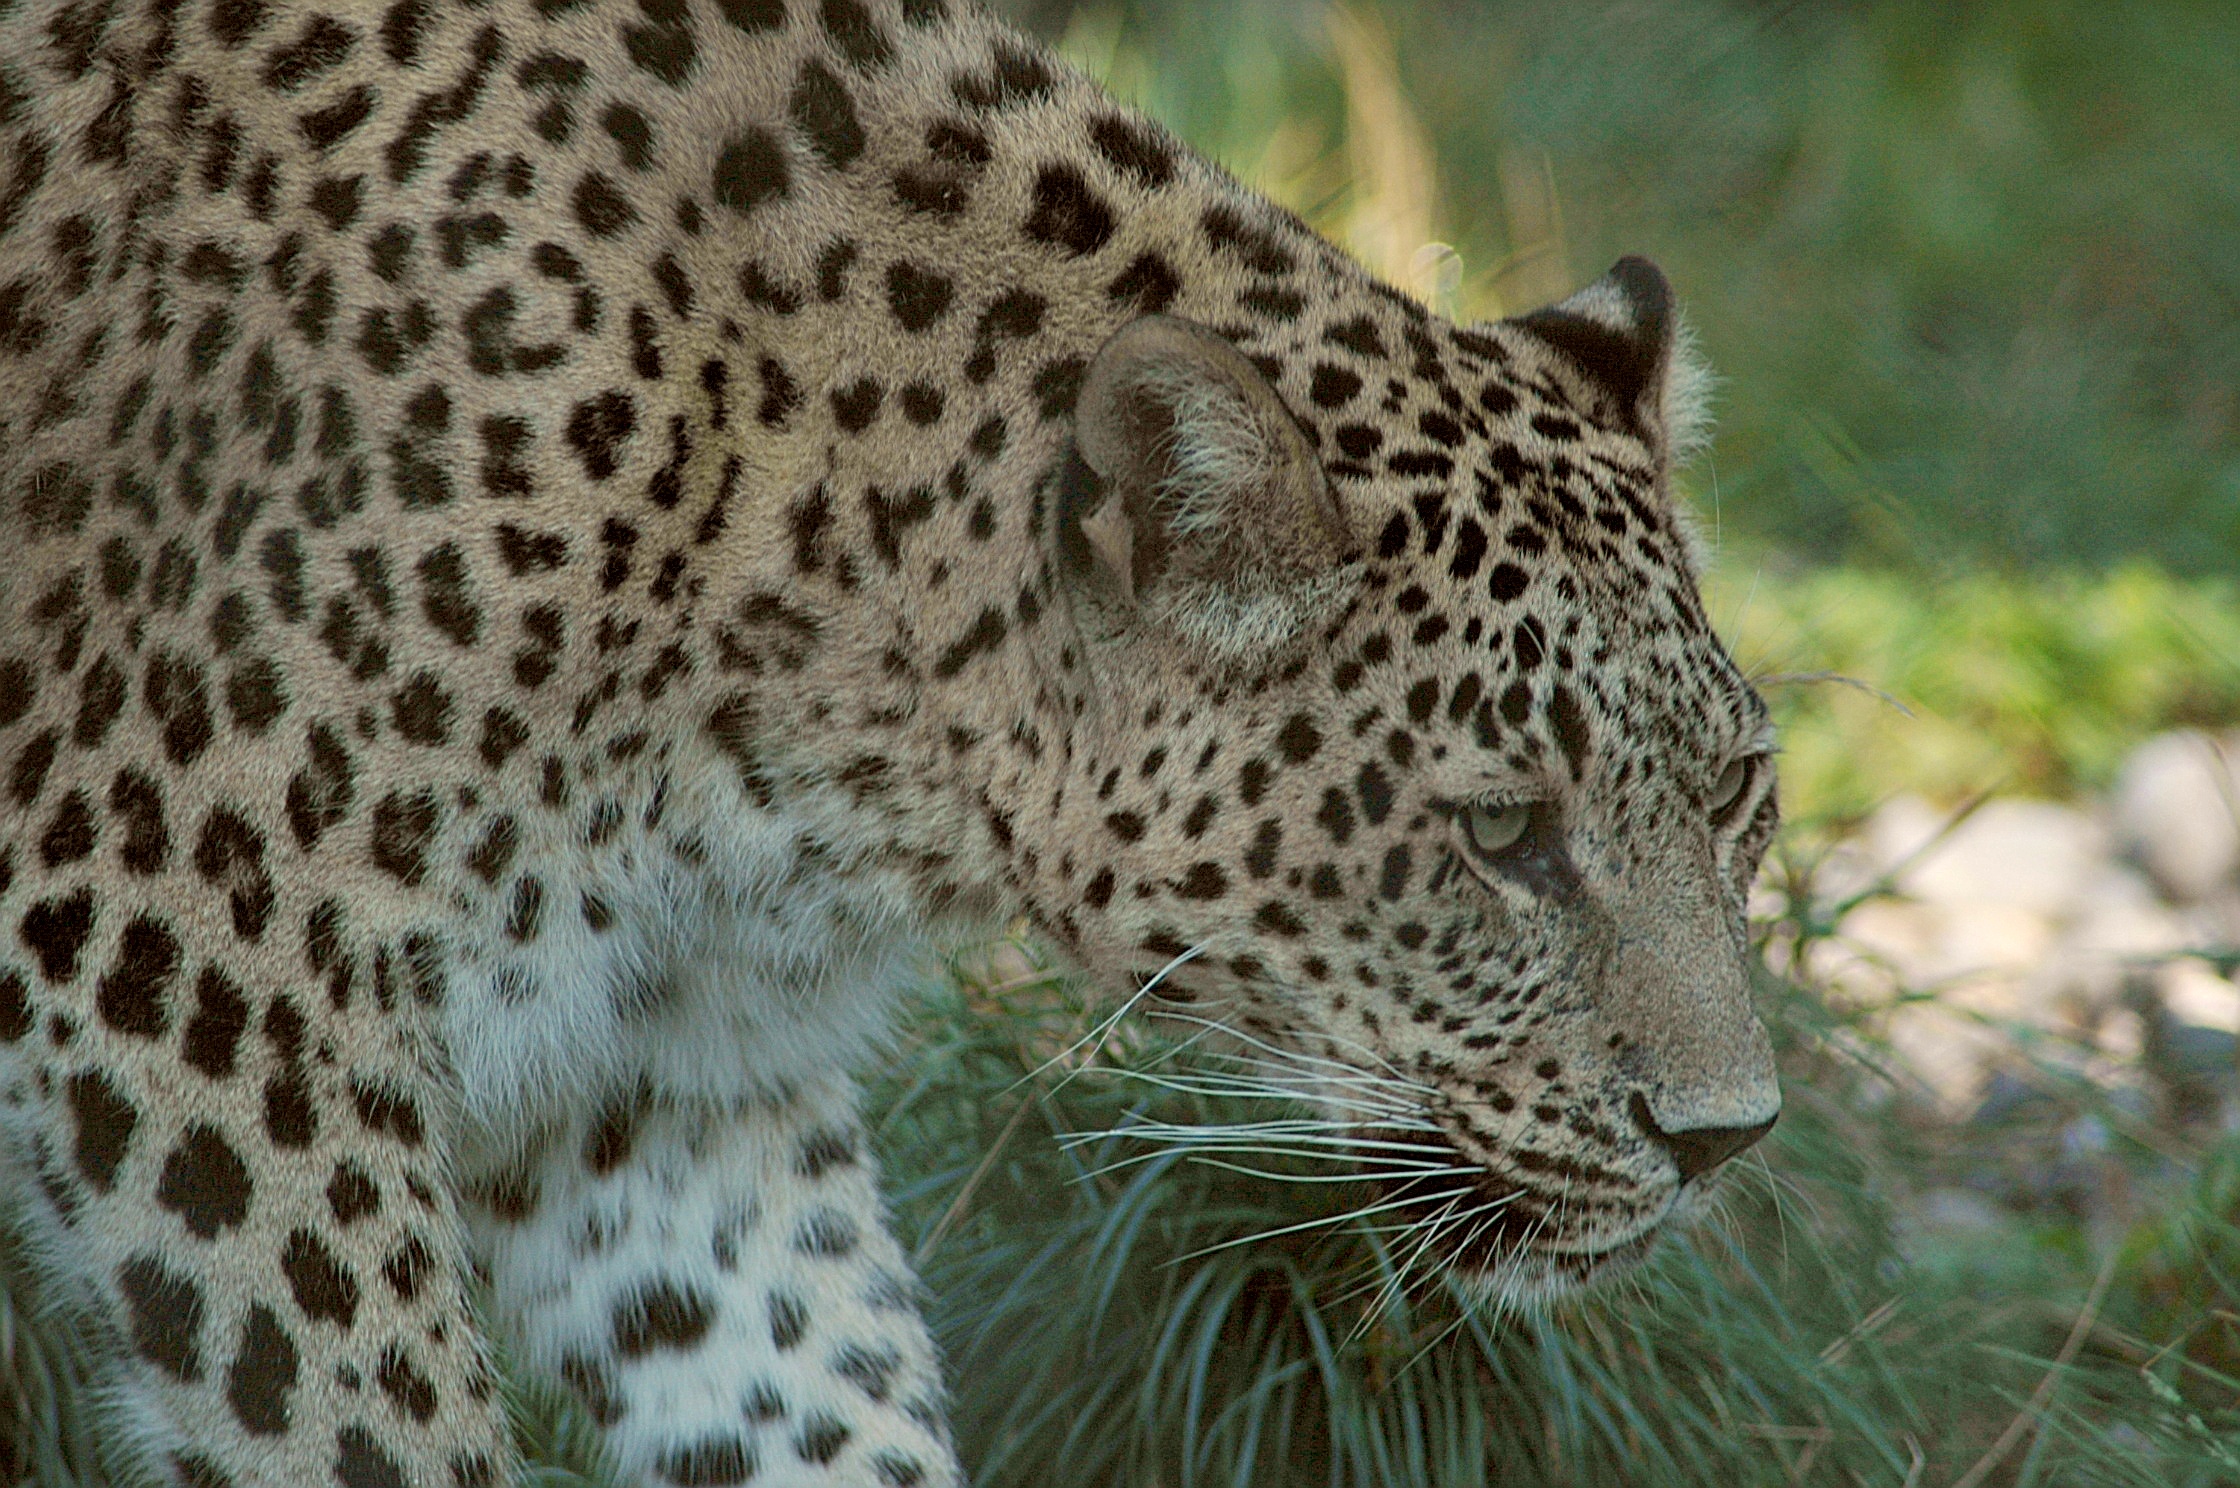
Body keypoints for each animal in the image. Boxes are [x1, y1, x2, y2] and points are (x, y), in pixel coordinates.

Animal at [0, 0, 1783, 1479]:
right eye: (1499, 835)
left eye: (1737, 794)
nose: (1726, 1140)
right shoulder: (197, 995)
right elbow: (361, 1420)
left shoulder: (662, 1080)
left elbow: (807, 1381)